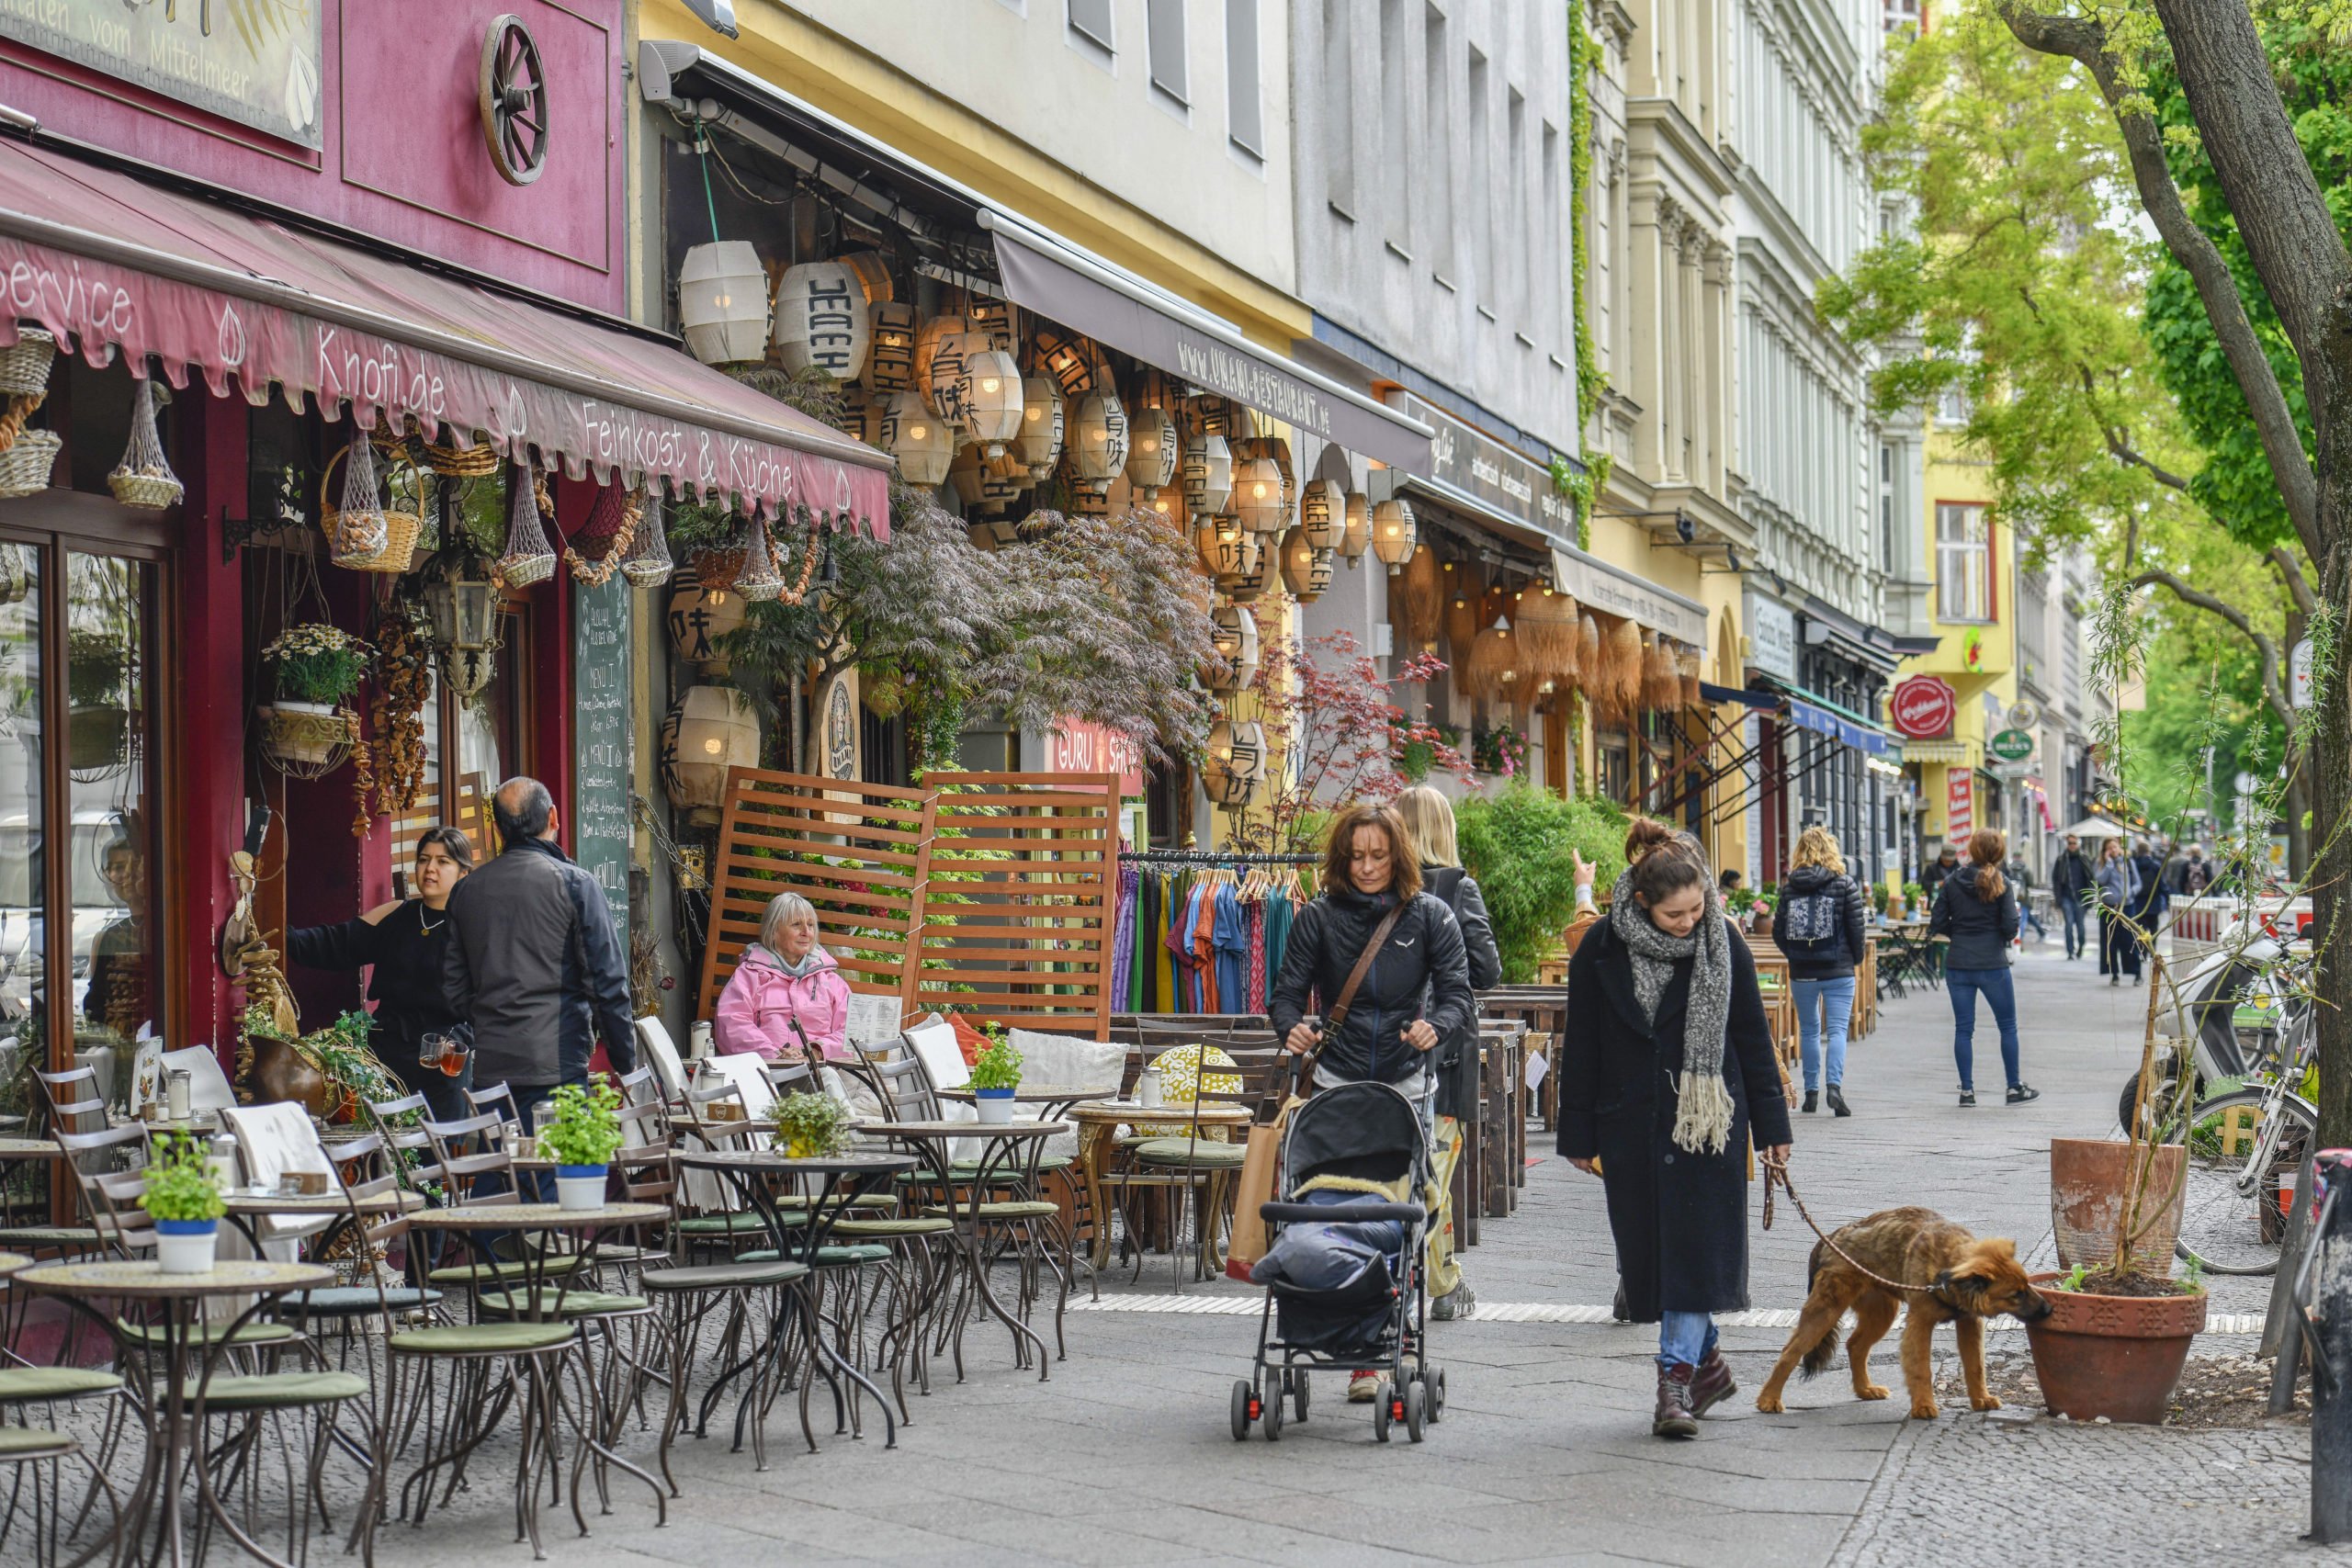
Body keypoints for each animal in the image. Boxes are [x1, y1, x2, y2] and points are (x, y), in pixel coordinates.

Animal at [1758, 1213, 2051, 1419]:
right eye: (2016, 1295)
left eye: (2028, 1286)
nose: (2049, 1310)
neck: (1945, 1274)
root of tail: (1833, 1236)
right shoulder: (1919, 1324)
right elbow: (1921, 1368)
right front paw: (1923, 1406)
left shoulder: (1969, 1323)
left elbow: (1975, 1366)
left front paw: (1980, 1400)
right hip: (1826, 1311)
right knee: (1790, 1352)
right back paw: (1768, 1400)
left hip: (1882, 1313)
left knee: (1855, 1345)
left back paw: (1865, 1389)